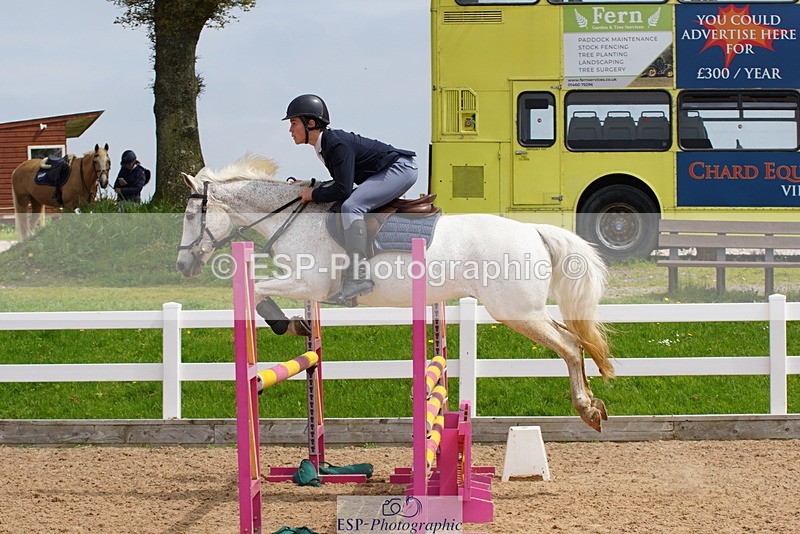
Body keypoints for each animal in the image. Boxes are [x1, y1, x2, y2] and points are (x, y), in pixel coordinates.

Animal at [176, 154, 614, 431]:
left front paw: (288, 324)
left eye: (190, 214)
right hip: (529, 309)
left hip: (516, 311)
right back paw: (594, 404)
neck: (293, 217)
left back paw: (586, 409)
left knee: (569, 346)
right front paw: (299, 325)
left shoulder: (309, 283)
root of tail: (533, 230)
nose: (183, 266)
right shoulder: (305, 285)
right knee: (575, 340)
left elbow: (255, 289)